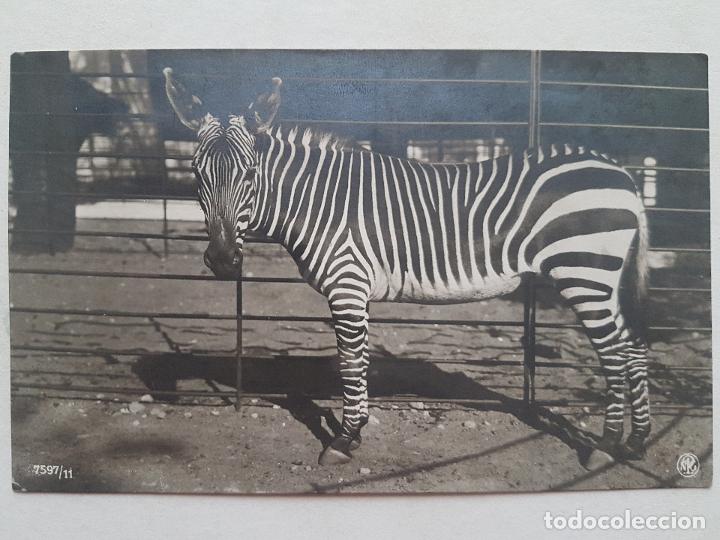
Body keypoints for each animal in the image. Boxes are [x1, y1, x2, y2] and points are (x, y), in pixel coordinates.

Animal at [164, 68, 651, 467]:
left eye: (250, 173)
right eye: (196, 173)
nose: (223, 260)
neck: (316, 201)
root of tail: (622, 173)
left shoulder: (347, 285)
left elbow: (350, 364)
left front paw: (344, 440)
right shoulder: (355, 290)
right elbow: (359, 361)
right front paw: (356, 432)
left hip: (583, 273)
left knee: (614, 352)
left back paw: (604, 445)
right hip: (602, 280)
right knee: (634, 347)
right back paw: (636, 442)